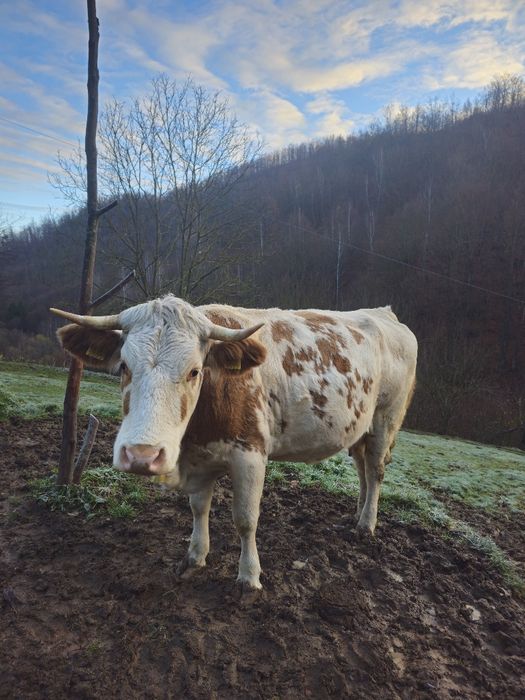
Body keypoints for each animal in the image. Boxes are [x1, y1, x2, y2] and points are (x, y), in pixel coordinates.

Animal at [51, 296, 417, 591]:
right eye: (124, 366)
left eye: (194, 371)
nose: (142, 455)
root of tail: (383, 313)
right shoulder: (199, 456)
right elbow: (199, 507)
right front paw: (195, 556)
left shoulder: (250, 454)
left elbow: (245, 519)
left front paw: (249, 577)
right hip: (360, 429)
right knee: (363, 470)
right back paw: (357, 515)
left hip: (386, 419)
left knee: (375, 471)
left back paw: (367, 524)